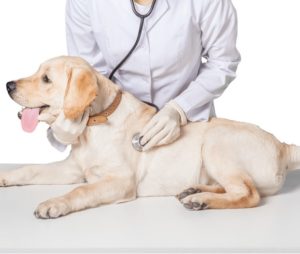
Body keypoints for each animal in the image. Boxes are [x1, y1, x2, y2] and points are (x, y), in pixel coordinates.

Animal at [2, 56, 300, 219]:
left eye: (46, 79)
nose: (9, 84)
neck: (94, 124)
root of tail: (283, 146)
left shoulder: (120, 181)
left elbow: (81, 190)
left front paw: (53, 204)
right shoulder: (73, 168)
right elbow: (30, 170)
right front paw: (6, 177)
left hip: (216, 143)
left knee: (248, 194)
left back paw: (200, 200)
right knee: (235, 188)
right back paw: (194, 191)